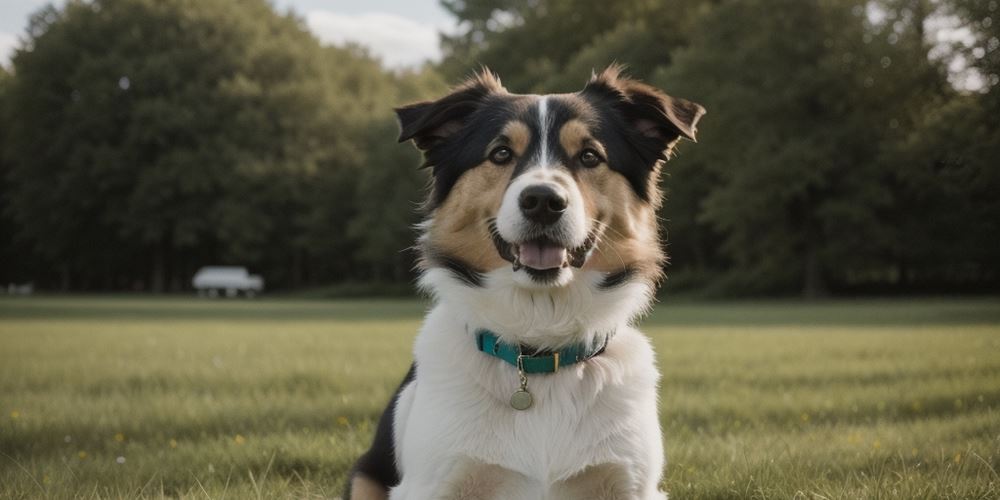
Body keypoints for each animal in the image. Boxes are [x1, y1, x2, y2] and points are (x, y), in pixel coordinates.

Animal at [348, 66, 708, 500]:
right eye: (501, 153)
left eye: (590, 156)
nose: (543, 201)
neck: (538, 346)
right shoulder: (430, 485)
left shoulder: (631, 485)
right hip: (363, 476)